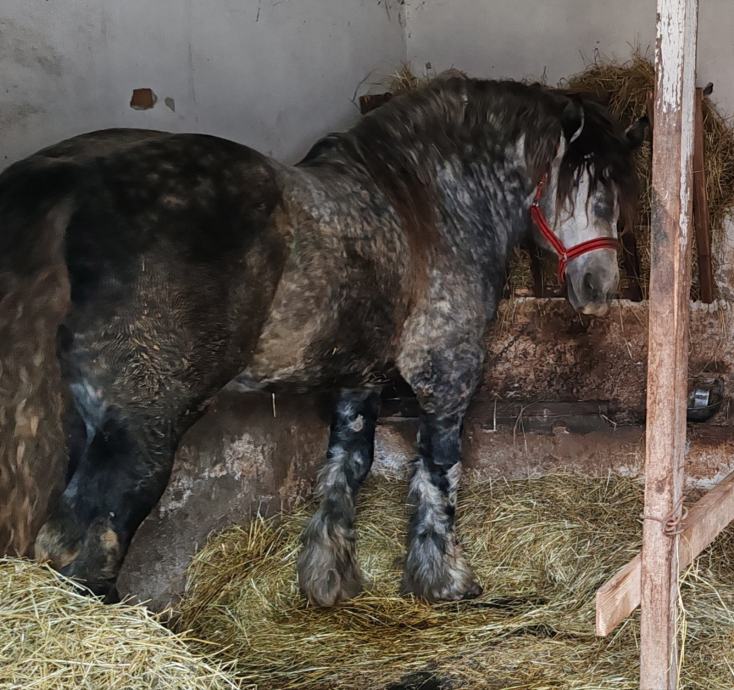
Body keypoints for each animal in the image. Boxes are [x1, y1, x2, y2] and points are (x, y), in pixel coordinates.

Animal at [0, 74, 646, 605]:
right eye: (596, 191)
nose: (599, 289)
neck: (426, 203)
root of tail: (68, 184)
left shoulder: (358, 380)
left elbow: (346, 467)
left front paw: (328, 578)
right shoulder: (448, 374)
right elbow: (438, 473)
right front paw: (443, 581)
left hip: (84, 424)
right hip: (143, 430)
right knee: (91, 541)